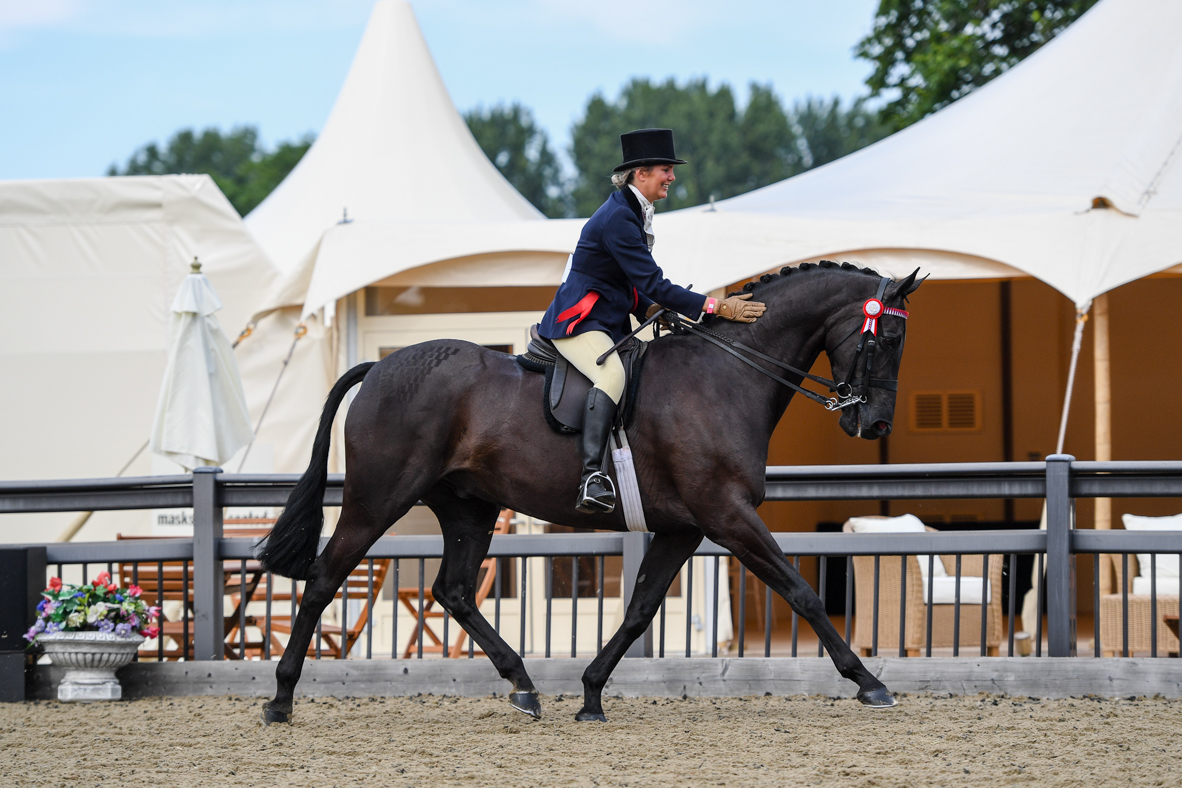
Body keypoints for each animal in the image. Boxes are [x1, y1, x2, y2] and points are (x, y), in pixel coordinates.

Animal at [257, 261, 923, 724]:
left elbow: (639, 610)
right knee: (325, 578)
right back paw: (281, 699)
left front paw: (591, 694)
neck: (726, 375)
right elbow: (801, 591)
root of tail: (380, 368)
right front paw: (869, 682)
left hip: (469, 507)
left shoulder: (685, 526)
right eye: (888, 340)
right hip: (379, 498)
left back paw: (524, 686)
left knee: (454, 591)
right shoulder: (726, 514)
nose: (875, 425)